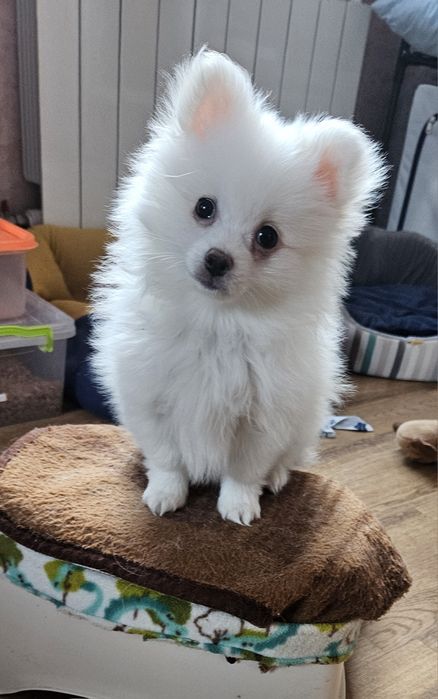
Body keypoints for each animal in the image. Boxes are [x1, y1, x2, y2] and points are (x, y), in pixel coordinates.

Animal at [91, 49, 385, 525]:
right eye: (203, 208)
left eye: (267, 237)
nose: (217, 259)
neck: (218, 323)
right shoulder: (150, 397)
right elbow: (167, 457)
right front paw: (165, 493)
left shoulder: (265, 417)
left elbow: (245, 468)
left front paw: (240, 505)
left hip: (303, 422)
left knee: (288, 457)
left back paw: (278, 477)